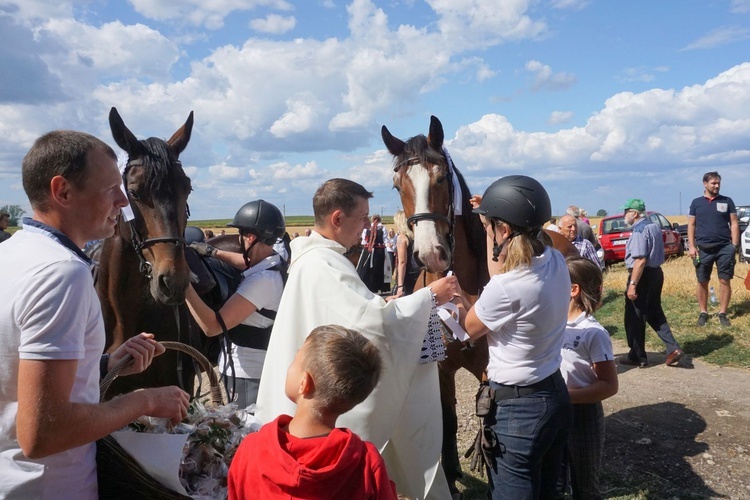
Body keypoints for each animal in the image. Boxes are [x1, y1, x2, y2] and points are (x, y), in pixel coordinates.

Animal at [382, 115, 576, 494]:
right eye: (398, 185)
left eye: (441, 176)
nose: (430, 254)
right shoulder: (441, 369)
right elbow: (449, 419)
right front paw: (451, 476)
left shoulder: (490, 370)